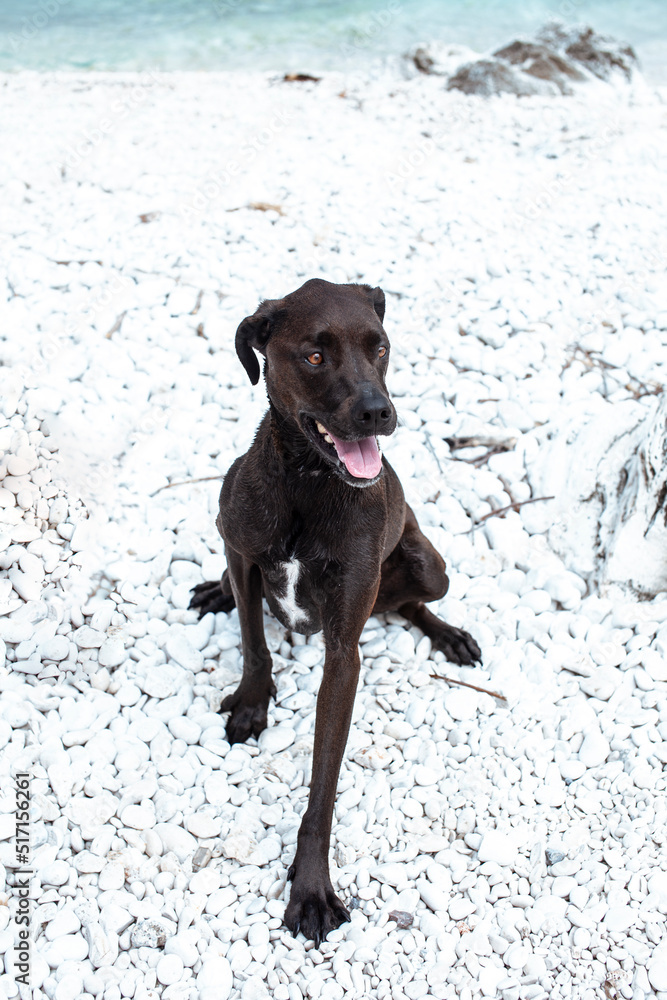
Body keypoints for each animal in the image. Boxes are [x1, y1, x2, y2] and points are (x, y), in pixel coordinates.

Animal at [190, 278, 482, 940]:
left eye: (381, 348)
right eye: (315, 356)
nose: (378, 412)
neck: (308, 482)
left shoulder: (343, 652)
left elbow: (323, 786)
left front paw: (312, 887)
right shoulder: (241, 549)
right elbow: (253, 640)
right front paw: (252, 701)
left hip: (432, 568)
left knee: (411, 603)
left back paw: (448, 635)